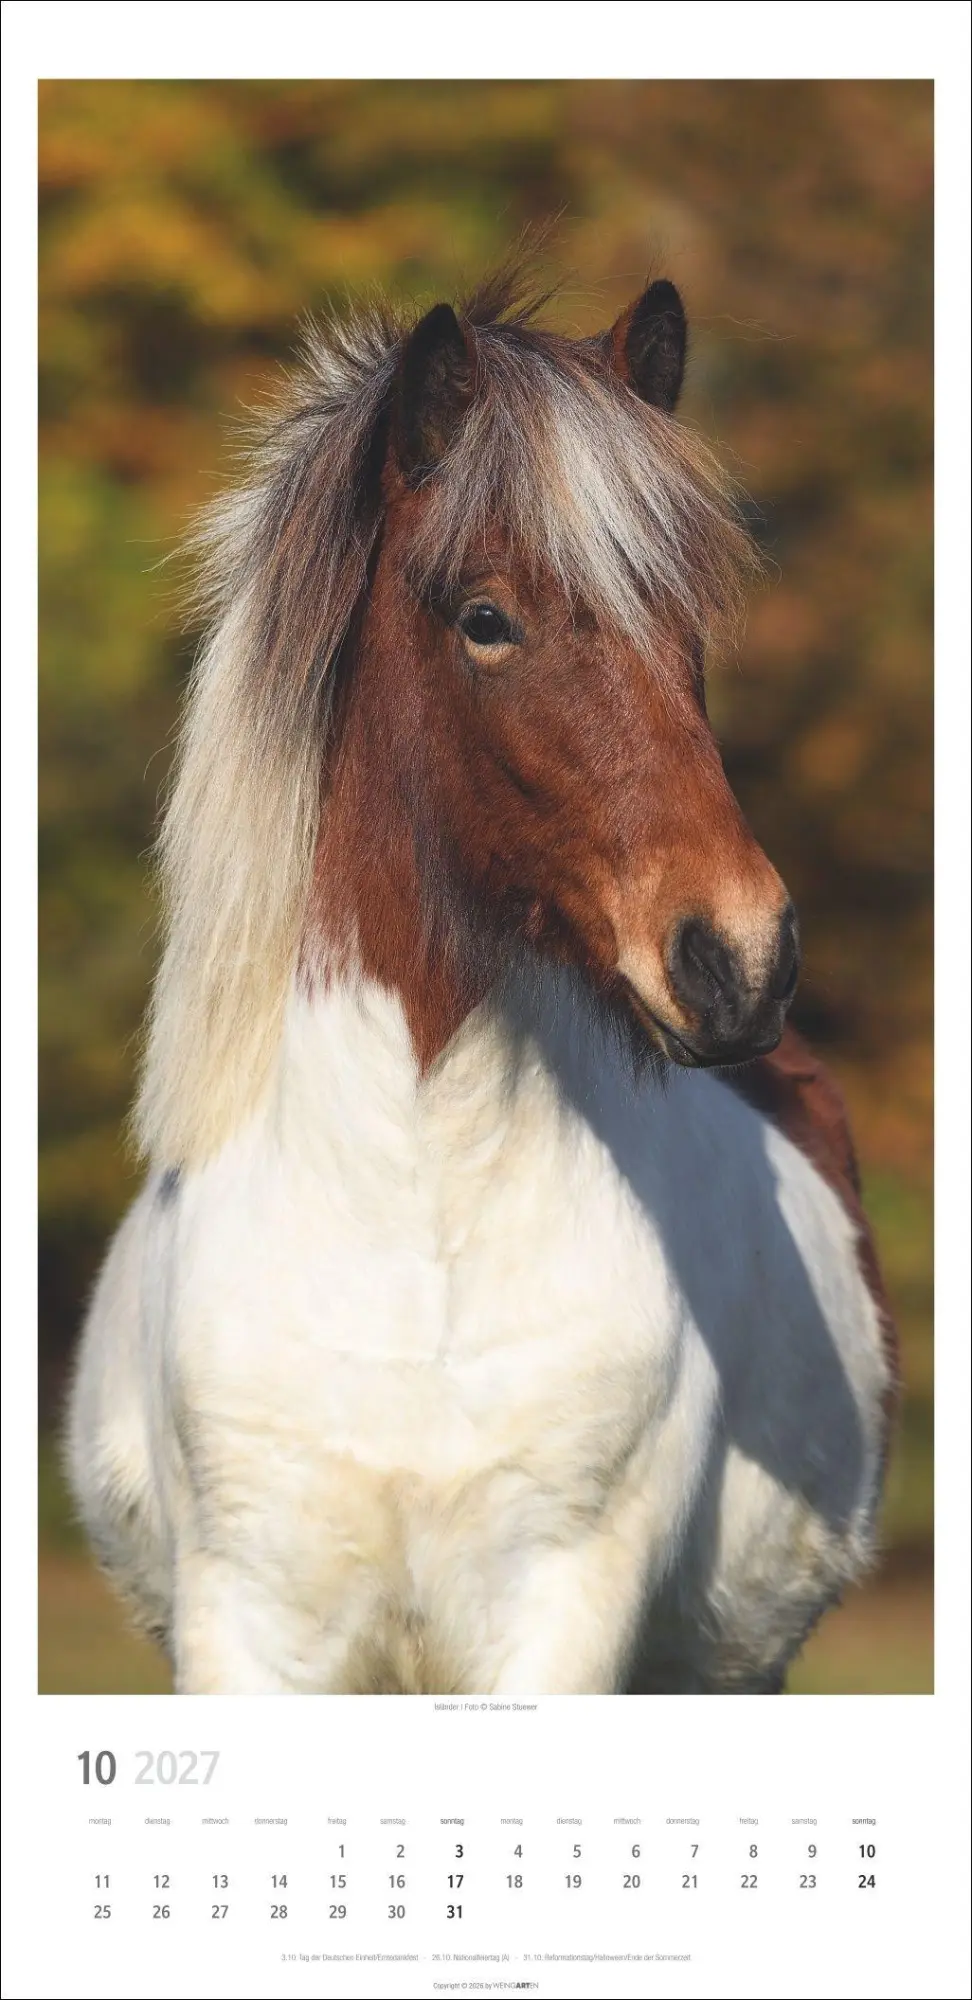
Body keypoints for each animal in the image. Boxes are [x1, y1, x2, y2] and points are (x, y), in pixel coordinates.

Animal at [66, 264, 896, 1694]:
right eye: (487, 620)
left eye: (685, 623)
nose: (741, 957)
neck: (416, 1229)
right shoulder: (250, 1629)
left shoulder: (555, 1622)